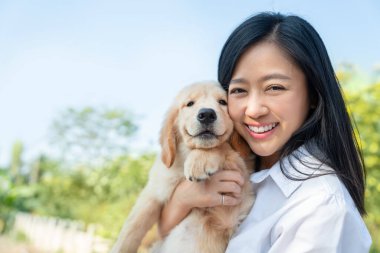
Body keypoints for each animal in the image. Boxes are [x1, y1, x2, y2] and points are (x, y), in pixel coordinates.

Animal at [110, 81, 255, 253]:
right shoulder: (155, 190)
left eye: (222, 102)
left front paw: (200, 160)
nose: (207, 114)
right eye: (190, 104)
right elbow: (133, 225)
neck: (186, 156)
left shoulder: (232, 210)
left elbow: (223, 146)